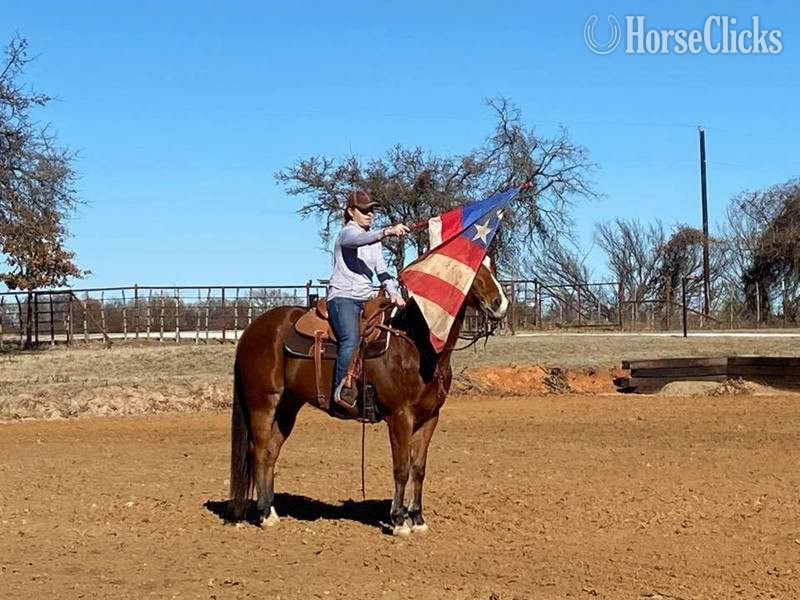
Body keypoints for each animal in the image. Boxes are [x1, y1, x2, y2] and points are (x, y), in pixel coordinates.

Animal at [228, 258, 509, 536]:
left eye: (492, 264)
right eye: (473, 270)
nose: (500, 303)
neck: (416, 344)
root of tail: (252, 330)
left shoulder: (430, 418)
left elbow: (418, 468)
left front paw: (418, 519)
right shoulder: (400, 417)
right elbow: (401, 468)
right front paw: (398, 521)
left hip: (288, 406)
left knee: (271, 452)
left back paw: (272, 511)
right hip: (263, 402)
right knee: (259, 450)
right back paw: (264, 515)